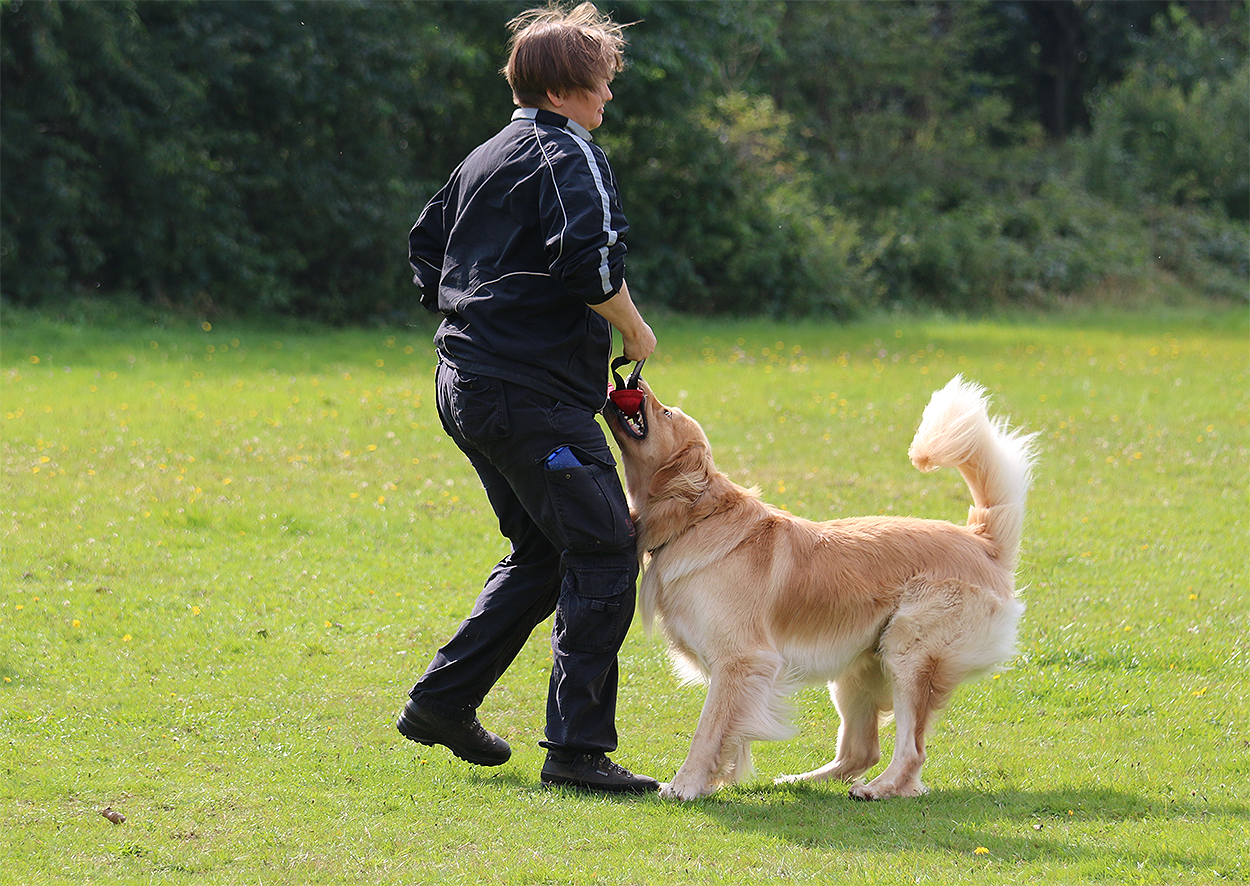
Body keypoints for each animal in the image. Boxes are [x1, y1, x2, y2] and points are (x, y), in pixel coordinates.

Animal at [604, 375, 1037, 801]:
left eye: (665, 413)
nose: (632, 379)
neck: (696, 516)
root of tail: (983, 542)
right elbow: (728, 738)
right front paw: (713, 780)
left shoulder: (742, 659)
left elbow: (708, 731)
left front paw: (685, 784)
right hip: (858, 671)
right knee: (862, 751)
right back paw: (798, 781)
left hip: (907, 653)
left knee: (911, 751)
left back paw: (878, 789)